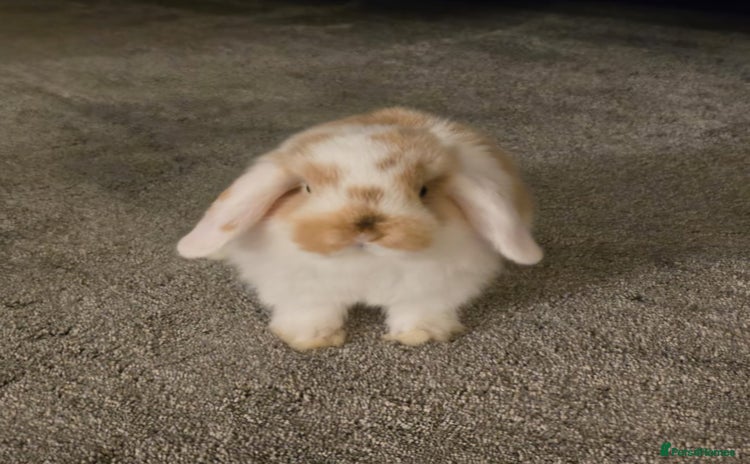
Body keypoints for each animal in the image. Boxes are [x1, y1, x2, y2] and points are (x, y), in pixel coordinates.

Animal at [177, 107, 542, 351]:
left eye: (423, 191)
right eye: (307, 188)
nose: (366, 228)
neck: (365, 266)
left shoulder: (432, 289)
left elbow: (419, 310)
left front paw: (419, 335)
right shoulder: (304, 290)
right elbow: (312, 312)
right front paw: (310, 340)